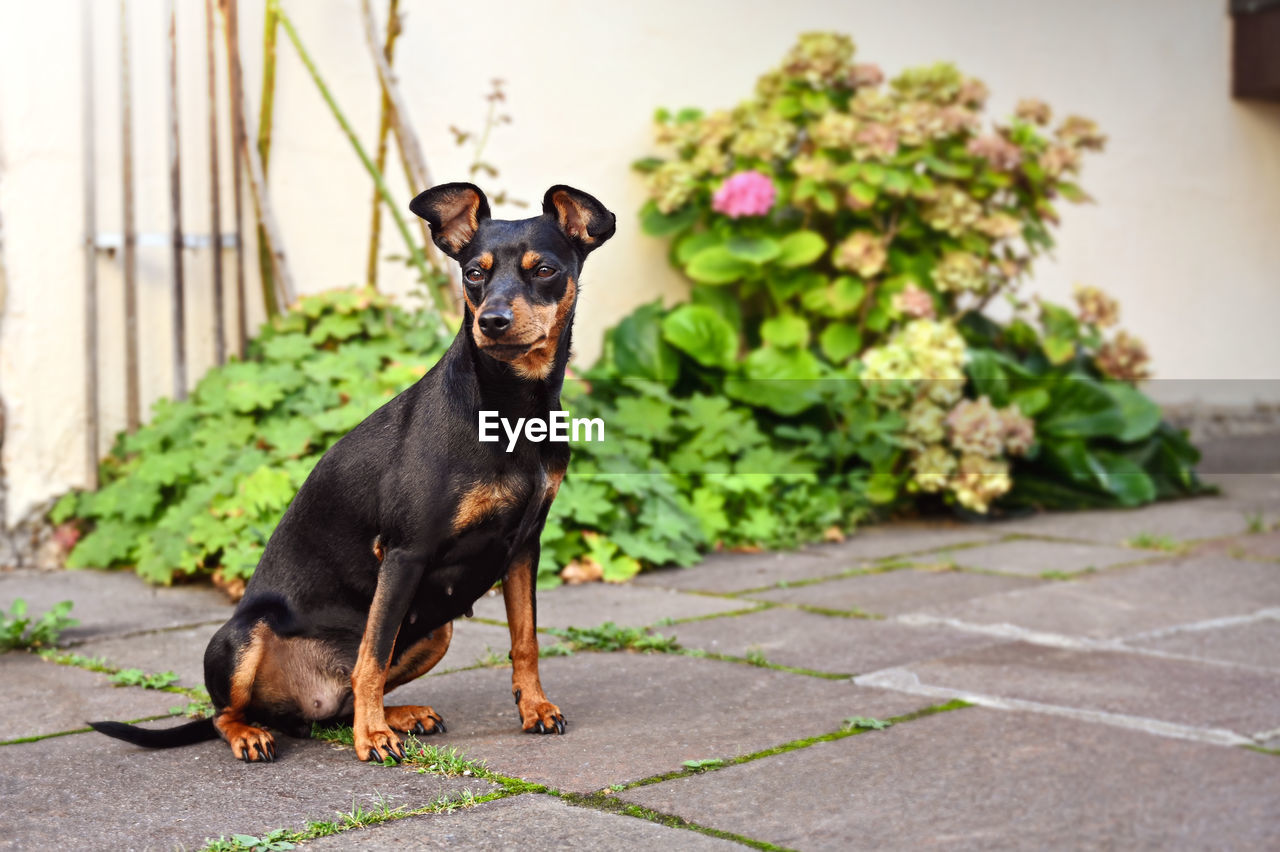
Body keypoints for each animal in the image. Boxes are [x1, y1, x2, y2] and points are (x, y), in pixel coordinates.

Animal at [90, 182, 614, 757]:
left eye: (543, 270)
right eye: (474, 274)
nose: (491, 322)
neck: (510, 406)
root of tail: (299, 706)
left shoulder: (523, 548)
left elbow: (525, 639)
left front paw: (535, 707)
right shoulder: (405, 553)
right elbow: (373, 655)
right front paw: (374, 739)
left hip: (437, 631)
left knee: (337, 706)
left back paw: (398, 715)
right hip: (242, 636)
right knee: (227, 711)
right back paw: (260, 733)